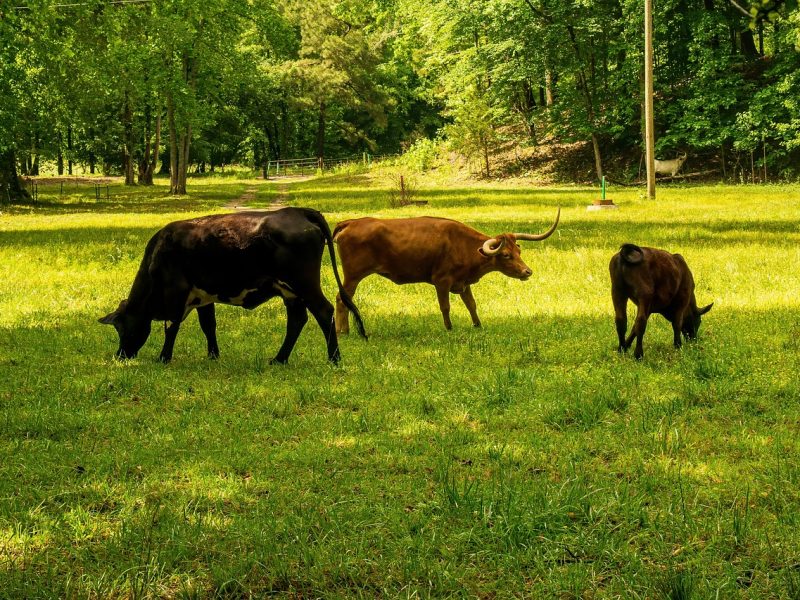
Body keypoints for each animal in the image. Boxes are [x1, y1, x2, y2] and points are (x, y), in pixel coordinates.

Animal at [97, 206, 368, 366]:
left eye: (121, 328)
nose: (120, 355)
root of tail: (296, 211)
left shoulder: (177, 292)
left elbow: (171, 327)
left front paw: (163, 358)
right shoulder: (203, 297)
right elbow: (208, 326)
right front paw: (213, 356)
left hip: (304, 283)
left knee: (323, 312)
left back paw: (334, 359)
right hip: (290, 291)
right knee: (297, 320)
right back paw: (279, 359)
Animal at [334, 210, 560, 332]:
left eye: (518, 251)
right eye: (505, 255)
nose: (527, 271)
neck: (463, 245)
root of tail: (352, 222)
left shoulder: (464, 283)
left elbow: (472, 305)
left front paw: (478, 325)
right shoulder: (441, 281)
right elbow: (445, 306)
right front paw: (449, 327)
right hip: (353, 275)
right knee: (341, 298)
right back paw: (342, 330)